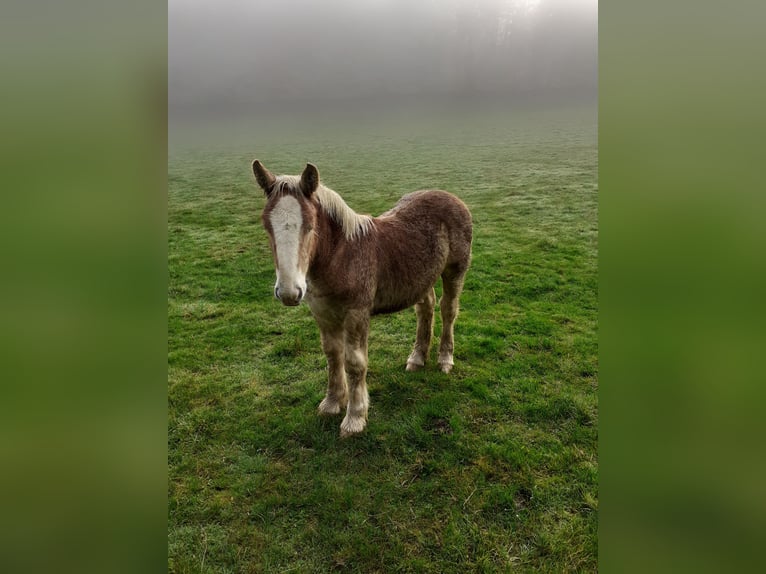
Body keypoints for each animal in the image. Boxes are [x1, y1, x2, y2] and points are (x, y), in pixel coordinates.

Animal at [252, 160, 472, 438]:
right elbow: (332, 355)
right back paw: (417, 359)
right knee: (426, 309)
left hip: (455, 271)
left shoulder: (356, 314)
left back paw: (445, 360)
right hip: (421, 276)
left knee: (448, 310)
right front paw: (332, 403)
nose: (289, 292)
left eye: (311, 226)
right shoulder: (322, 313)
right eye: (266, 226)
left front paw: (355, 418)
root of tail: (452, 197)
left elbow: (354, 363)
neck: (340, 257)